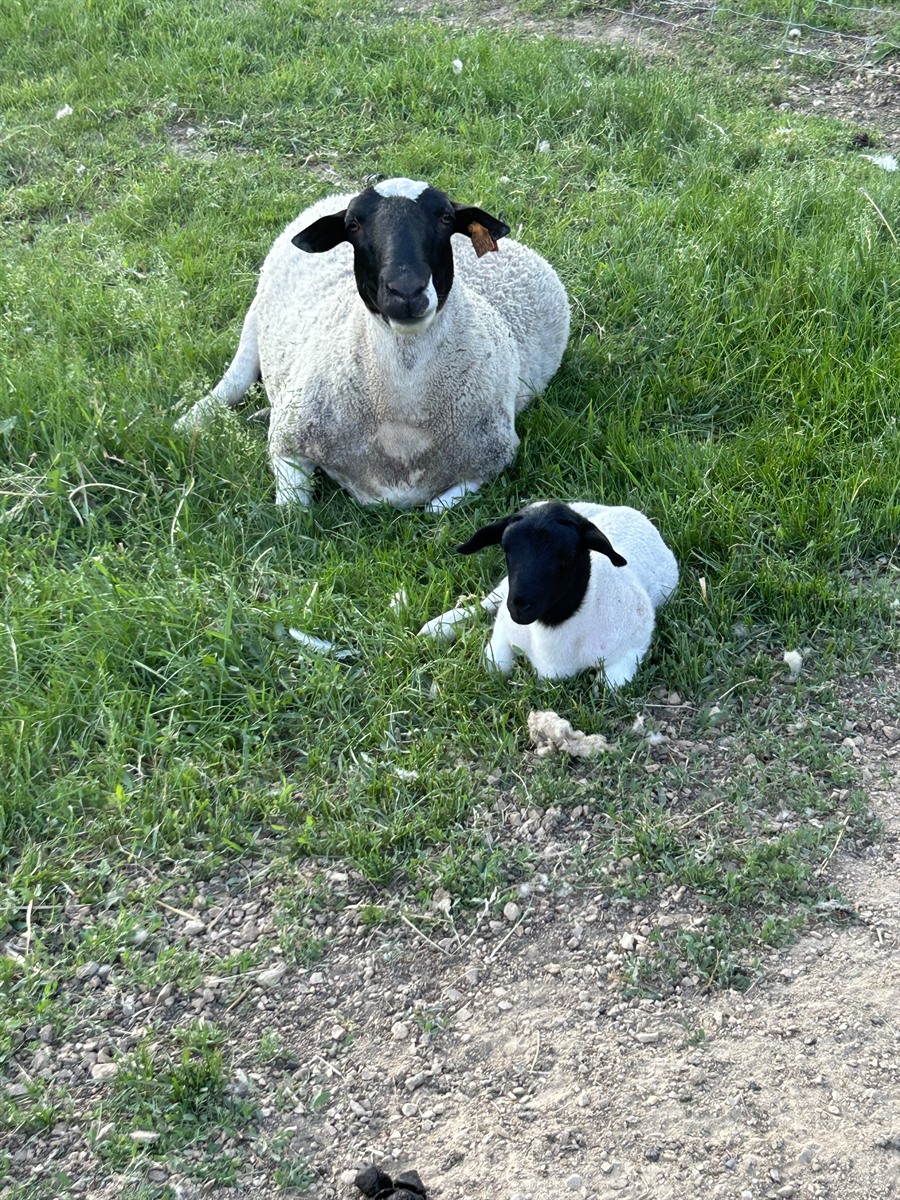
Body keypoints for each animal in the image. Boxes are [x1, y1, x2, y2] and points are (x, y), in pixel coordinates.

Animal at [175, 178, 570, 512]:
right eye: (353, 225)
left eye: (446, 218)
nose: (406, 290)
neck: (401, 419)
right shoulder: (289, 440)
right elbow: (292, 514)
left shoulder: (493, 460)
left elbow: (435, 510)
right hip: (256, 316)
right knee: (233, 380)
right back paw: (187, 422)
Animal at [418, 500, 678, 687]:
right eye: (506, 549)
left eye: (568, 556)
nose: (519, 605)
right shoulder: (504, 626)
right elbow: (496, 667)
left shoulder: (635, 641)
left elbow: (608, 686)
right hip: (505, 588)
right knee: (488, 602)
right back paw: (437, 627)